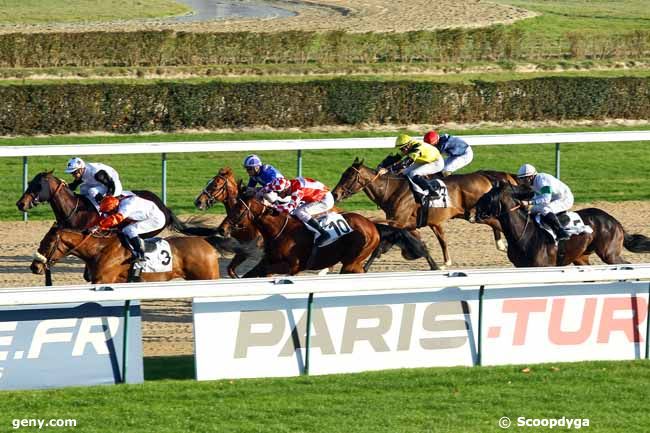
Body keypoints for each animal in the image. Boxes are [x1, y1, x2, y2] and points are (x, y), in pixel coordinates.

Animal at [31, 224, 253, 282]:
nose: (34, 266)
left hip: (207, 276)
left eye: (48, 243)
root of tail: (205, 240)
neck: (99, 249)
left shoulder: (103, 280)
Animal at [332, 159, 512, 266]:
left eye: (349, 177)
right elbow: (424, 245)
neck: (392, 190)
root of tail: (484, 176)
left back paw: (504, 245)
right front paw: (437, 266)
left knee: (498, 222)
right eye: (342, 174)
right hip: (471, 214)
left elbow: (379, 246)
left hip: (477, 213)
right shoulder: (411, 225)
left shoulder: (398, 222)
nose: (335, 194)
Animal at [470, 181, 648, 264]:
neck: (524, 234)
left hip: (609, 254)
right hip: (581, 257)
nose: (471, 212)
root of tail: (615, 221)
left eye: (489, 196)